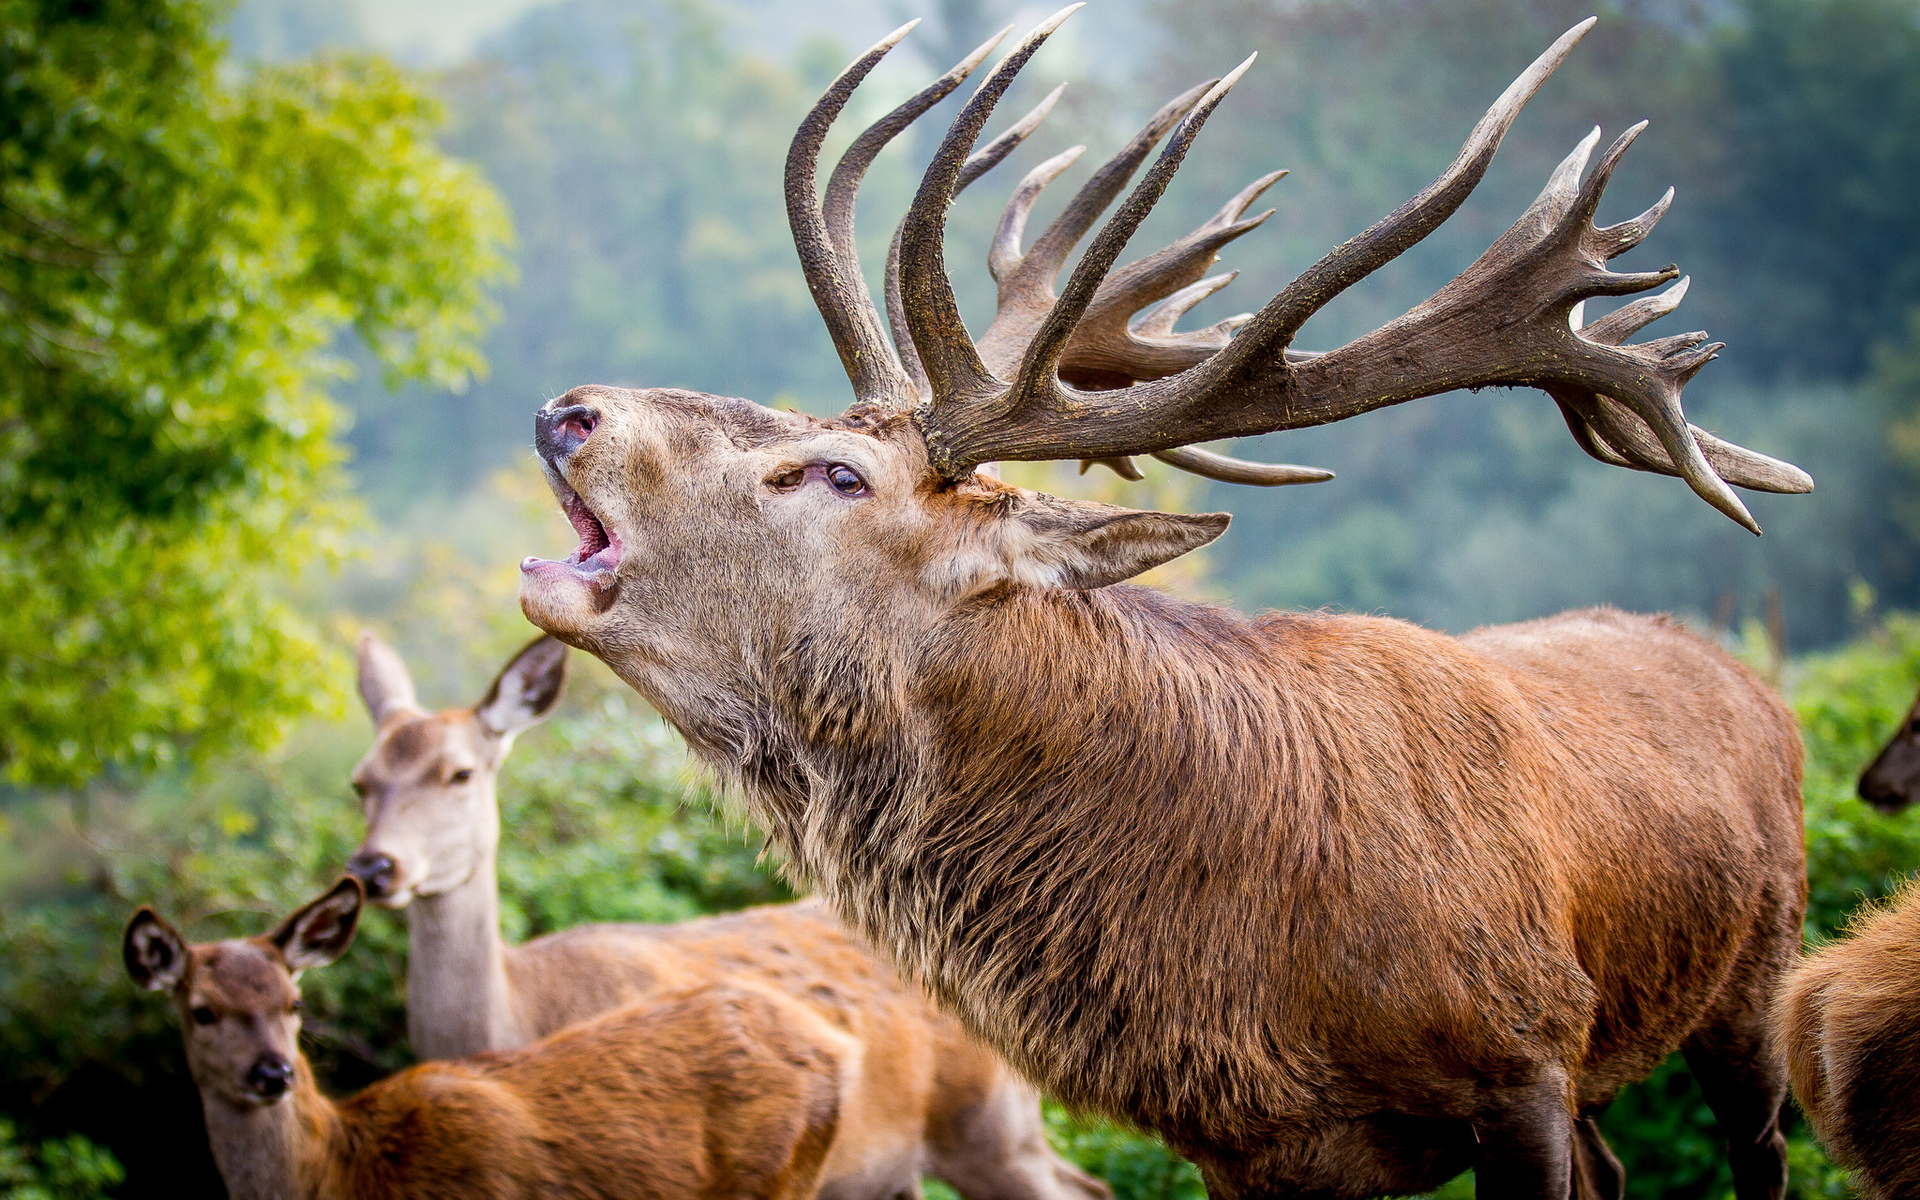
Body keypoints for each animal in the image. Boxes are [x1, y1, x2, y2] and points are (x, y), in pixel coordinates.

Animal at [120, 875, 840, 1198]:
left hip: (775, 1177)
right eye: (202, 1011)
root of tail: (835, 1048)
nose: (273, 1073)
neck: (345, 1174)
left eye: (293, 1001)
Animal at [514, 11, 1812, 1198]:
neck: (1254, 981)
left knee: (1761, 1146)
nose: (571, 409)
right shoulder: (1246, 1151)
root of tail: (1745, 677)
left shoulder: (1524, 1057)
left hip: (1757, 971)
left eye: (837, 472)